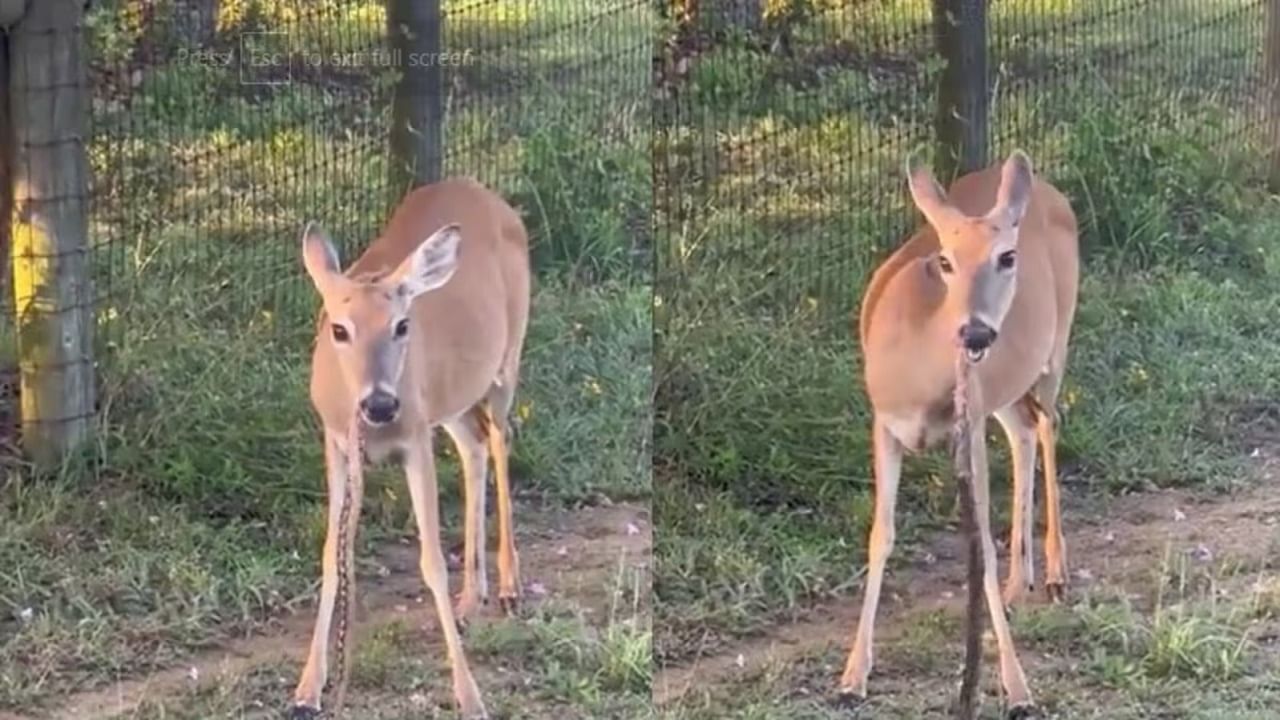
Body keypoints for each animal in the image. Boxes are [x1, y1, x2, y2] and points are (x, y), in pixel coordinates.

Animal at [290, 175, 529, 717]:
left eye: (402, 325)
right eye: (339, 329)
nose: (380, 404)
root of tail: (486, 192)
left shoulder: (415, 438)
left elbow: (432, 562)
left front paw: (470, 695)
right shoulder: (338, 444)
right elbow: (333, 557)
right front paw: (308, 687)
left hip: (507, 358)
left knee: (500, 438)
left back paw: (508, 586)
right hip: (453, 398)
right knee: (474, 445)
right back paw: (470, 600)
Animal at [839, 151, 1080, 712]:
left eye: (1007, 256)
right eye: (946, 261)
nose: (975, 331)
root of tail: (1048, 190)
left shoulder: (965, 428)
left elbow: (981, 550)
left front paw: (1018, 688)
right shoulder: (883, 422)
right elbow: (880, 534)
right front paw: (853, 675)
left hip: (1056, 343)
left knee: (1049, 423)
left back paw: (1055, 572)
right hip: (1005, 390)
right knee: (1024, 430)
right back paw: (1019, 584)